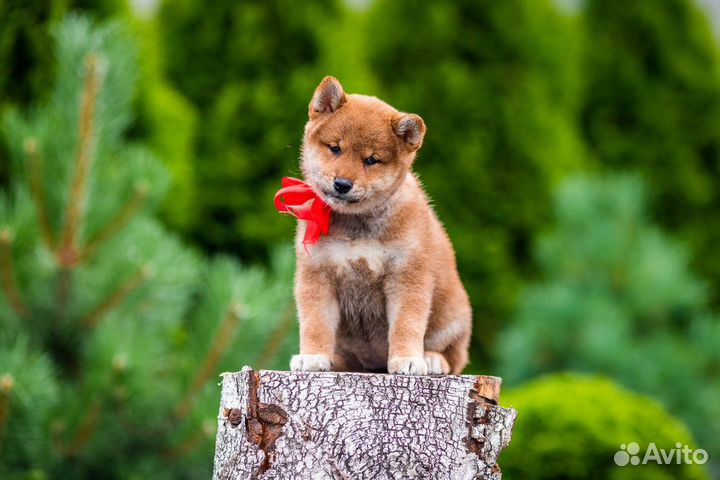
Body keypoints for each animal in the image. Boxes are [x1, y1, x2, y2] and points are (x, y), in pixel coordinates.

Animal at [286, 76, 472, 376]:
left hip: (452, 317)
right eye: (335, 148)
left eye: (371, 160)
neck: (357, 224)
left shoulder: (407, 275)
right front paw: (313, 356)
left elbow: (406, 325)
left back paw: (432, 359)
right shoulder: (317, 274)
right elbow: (315, 323)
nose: (342, 184)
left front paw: (408, 359)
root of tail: (374, 365)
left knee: (453, 357)